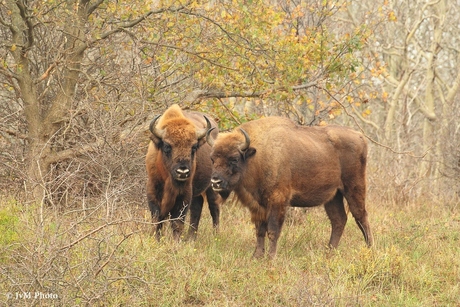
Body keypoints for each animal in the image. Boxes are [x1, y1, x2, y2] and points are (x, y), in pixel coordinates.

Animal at [146, 104, 221, 242]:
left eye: (194, 147)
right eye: (167, 146)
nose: (183, 171)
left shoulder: (184, 194)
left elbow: (177, 221)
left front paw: (176, 241)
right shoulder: (153, 189)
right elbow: (157, 219)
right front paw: (156, 239)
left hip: (212, 186)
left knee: (214, 208)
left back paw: (216, 236)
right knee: (197, 208)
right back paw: (191, 237)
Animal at [208, 116, 374, 258]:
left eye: (234, 159)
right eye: (212, 158)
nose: (215, 181)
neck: (257, 155)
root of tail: (360, 136)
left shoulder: (278, 200)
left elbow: (273, 230)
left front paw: (271, 257)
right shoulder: (257, 205)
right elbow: (260, 230)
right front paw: (256, 256)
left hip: (354, 188)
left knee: (361, 217)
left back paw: (369, 249)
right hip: (333, 196)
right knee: (339, 220)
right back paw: (329, 252)